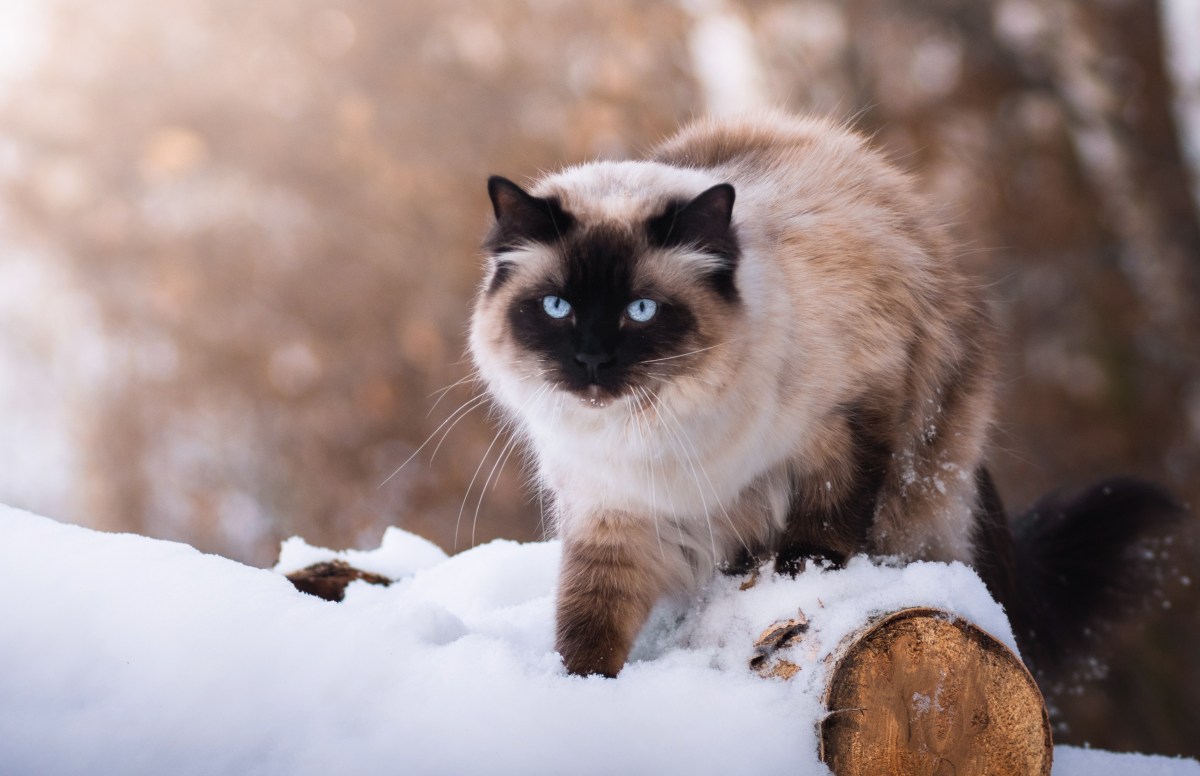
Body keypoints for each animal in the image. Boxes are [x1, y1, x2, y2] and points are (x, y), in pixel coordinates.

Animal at [465, 110, 1180, 681]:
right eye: (556, 308)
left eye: (640, 311)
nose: (590, 361)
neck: (659, 432)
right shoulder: (613, 516)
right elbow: (588, 626)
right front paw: (583, 695)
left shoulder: (849, 419)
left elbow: (828, 519)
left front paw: (799, 575)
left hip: (925, 474)